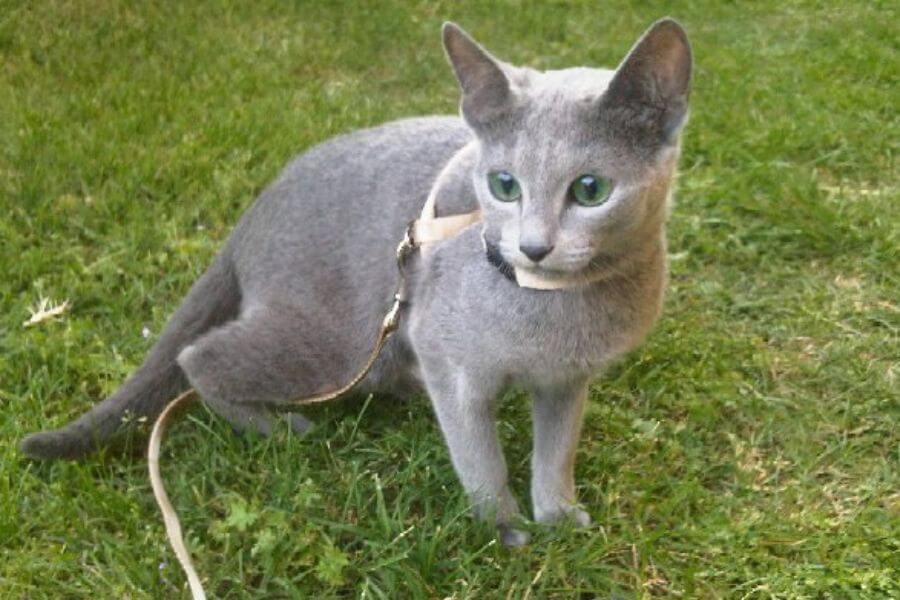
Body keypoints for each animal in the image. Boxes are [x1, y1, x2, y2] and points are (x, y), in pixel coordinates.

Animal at [22, 17, 696, 544]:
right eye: (504, 185)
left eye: (591, 190)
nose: (533, 245)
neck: (554, 302)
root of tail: (252, 215)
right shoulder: (446, 354)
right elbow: (479, 454)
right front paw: (503, 526)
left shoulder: (566, 380)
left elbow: (556, 451)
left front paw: (558, 517)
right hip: (337, 346)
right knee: (198, 358)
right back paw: (279, 428)